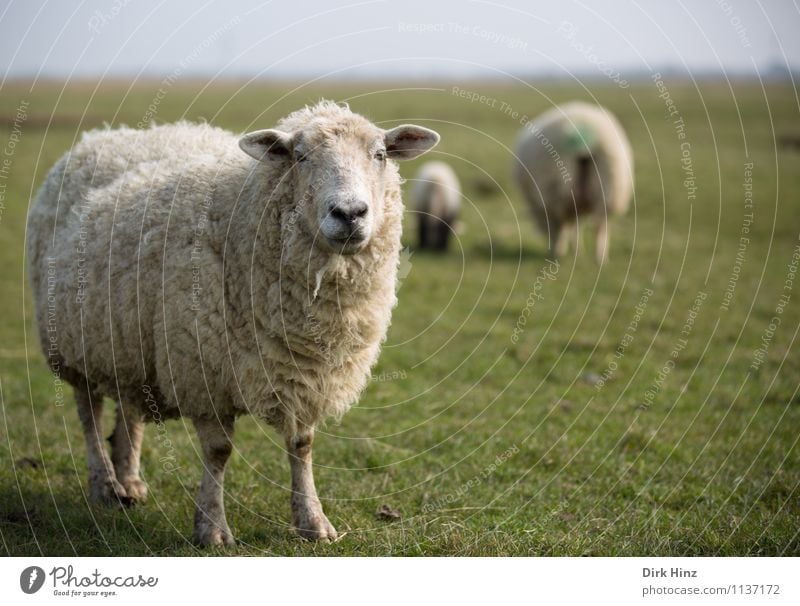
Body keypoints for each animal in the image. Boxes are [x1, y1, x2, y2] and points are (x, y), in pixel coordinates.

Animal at [512, 102, 632, 266]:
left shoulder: (548, 208)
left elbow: (560, 229)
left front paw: (560, 251)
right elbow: (576, 226)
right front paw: (577, 252)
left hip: (556, 186)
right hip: (608, 183)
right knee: (600, 224)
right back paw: (600, 258)